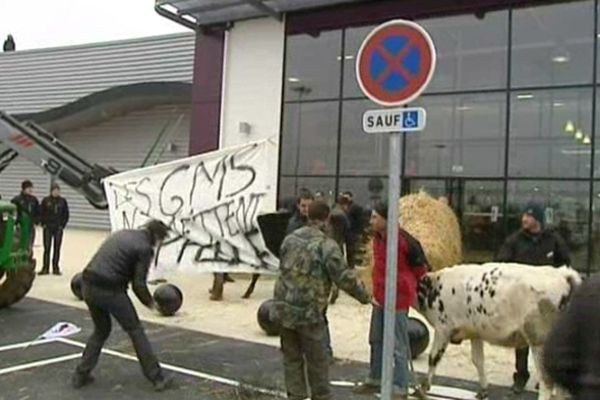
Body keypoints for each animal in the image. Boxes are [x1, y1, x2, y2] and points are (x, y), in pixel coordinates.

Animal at [414, 264, 580, 398]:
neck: (435, 285)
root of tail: (563, 274)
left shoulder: (443, 328)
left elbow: (433, 358)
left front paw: (423, 388)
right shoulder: (475, 332)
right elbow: (478, 361)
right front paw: (483, 391)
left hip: (540, 341)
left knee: (547, 381)